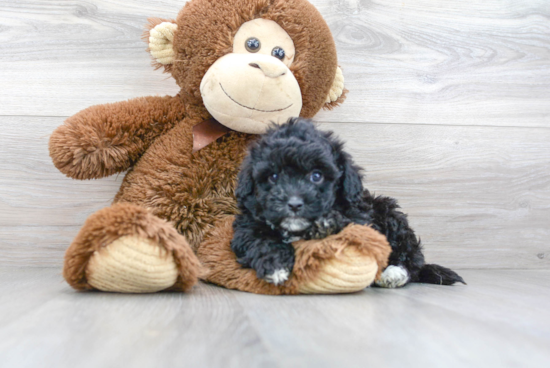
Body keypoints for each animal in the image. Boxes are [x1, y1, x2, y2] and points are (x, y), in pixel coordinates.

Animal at [231, 119, 468, 286]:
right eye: (273, 176)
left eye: (316, 176)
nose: (294, 203)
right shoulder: (246, 226)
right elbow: (259, 239)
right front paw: (276, 266)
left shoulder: (361, 219)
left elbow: (349, 227)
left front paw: (325, 224)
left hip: (389, 214)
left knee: (411, 258)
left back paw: (393, 274)